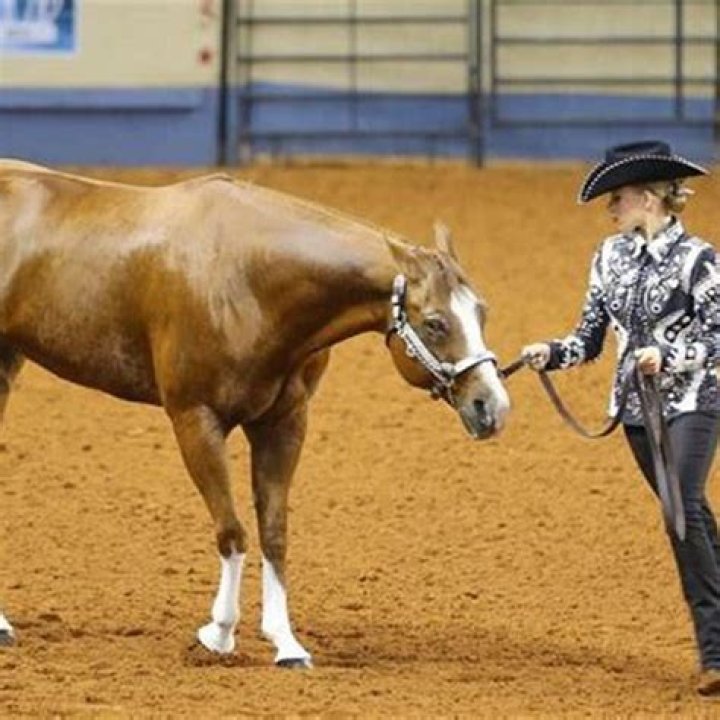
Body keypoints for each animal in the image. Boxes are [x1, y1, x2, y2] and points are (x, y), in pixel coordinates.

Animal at [0, 160, 510, 665]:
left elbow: (274, 531)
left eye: (482, 312)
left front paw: (286, 643)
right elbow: (232, 531)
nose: (491, 406)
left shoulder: (283, 423)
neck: (246, 276)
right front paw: (219, 633)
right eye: (436, 323)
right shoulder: (195, 419)